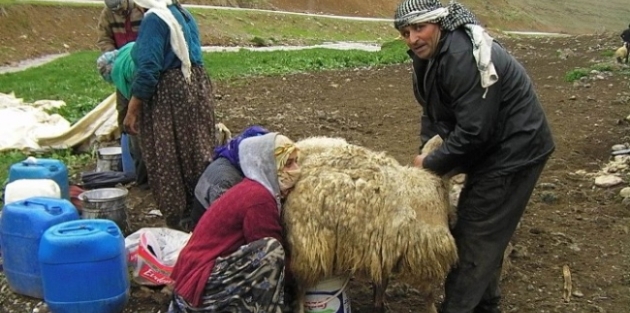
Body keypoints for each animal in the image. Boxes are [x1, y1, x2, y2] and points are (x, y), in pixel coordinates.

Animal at [284, 136, 456, 312]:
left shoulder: (385, 250)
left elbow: (382, 281)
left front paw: (379, 302)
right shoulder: (423, 256)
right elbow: (428, 293)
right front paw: (432, 309)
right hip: (309, 248)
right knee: (300, 288)